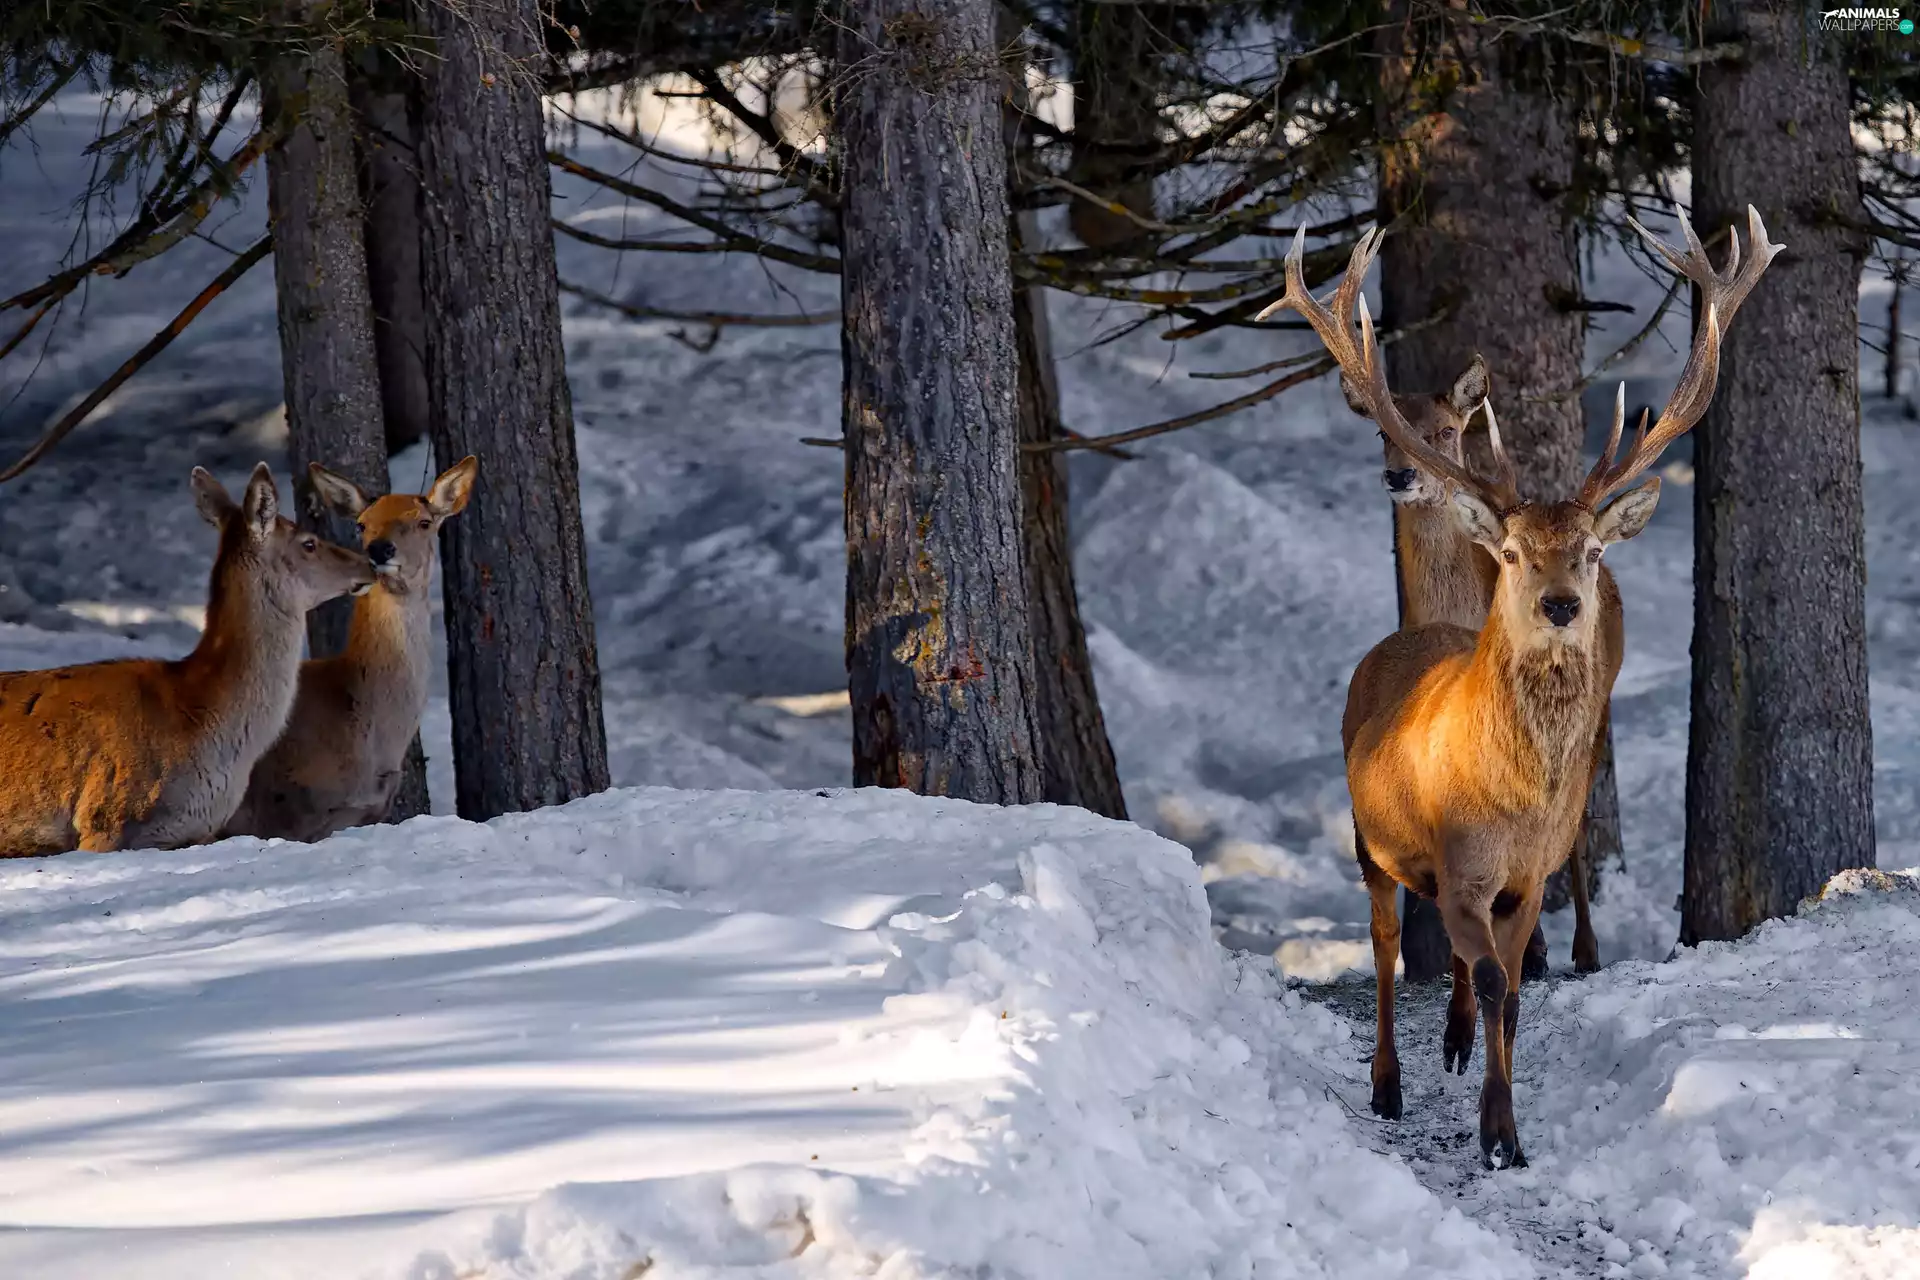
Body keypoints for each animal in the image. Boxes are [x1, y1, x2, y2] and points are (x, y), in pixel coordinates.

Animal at [1339, 356, 1603, 980]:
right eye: (1382, 433)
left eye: (1446, 430)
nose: (1400, 477)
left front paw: (1538, 951)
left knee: (1584, 822)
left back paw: (1584, 948)